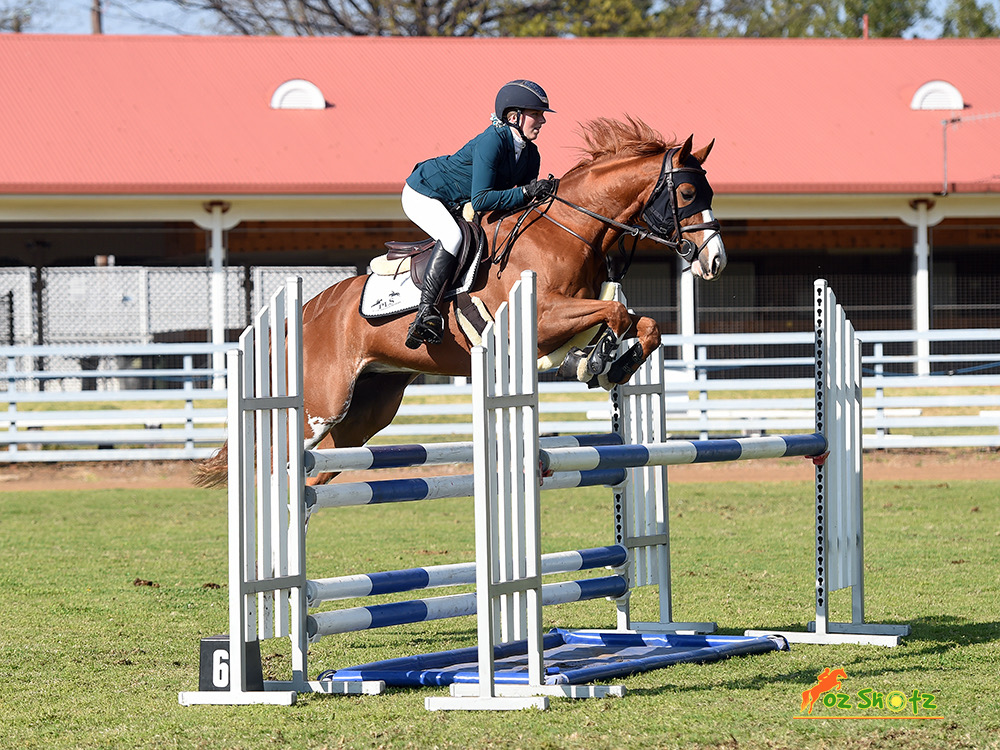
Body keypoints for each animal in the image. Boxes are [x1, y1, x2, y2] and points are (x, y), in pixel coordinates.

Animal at [195, 119, 728, 488]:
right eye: (686, 192)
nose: (716, 261)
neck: (569, 231)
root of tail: (306, 312)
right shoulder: (541, 318)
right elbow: (615, 314)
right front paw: (602, 362)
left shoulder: (570, 317)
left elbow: (644, 324)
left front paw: (611, 362)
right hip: (321, 404)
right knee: (279, 457)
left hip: (366, 412)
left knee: (315, 470)